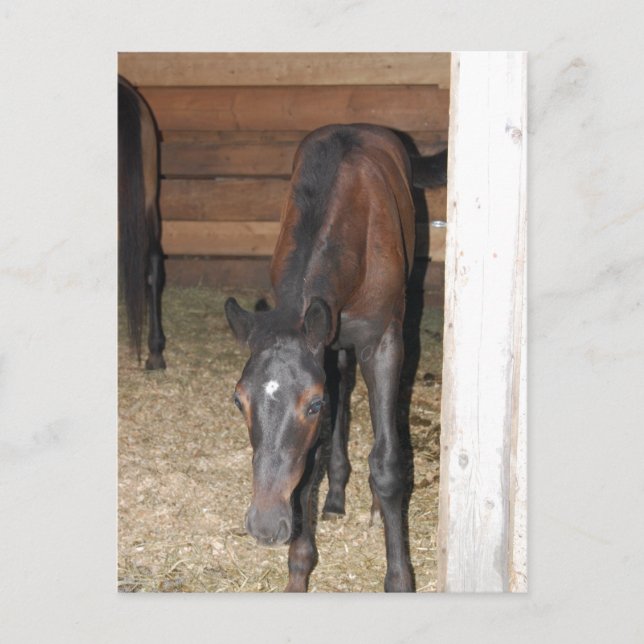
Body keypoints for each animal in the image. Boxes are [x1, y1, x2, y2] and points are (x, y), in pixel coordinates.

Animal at [225, 123, 424, 592]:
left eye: (313, 404)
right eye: (238, 401)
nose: (265, 525)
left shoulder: (383, 344)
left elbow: (387, 464)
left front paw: (399, 579)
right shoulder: (324, 348)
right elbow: (306, 469)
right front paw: (298, 570)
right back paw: (335, 498)